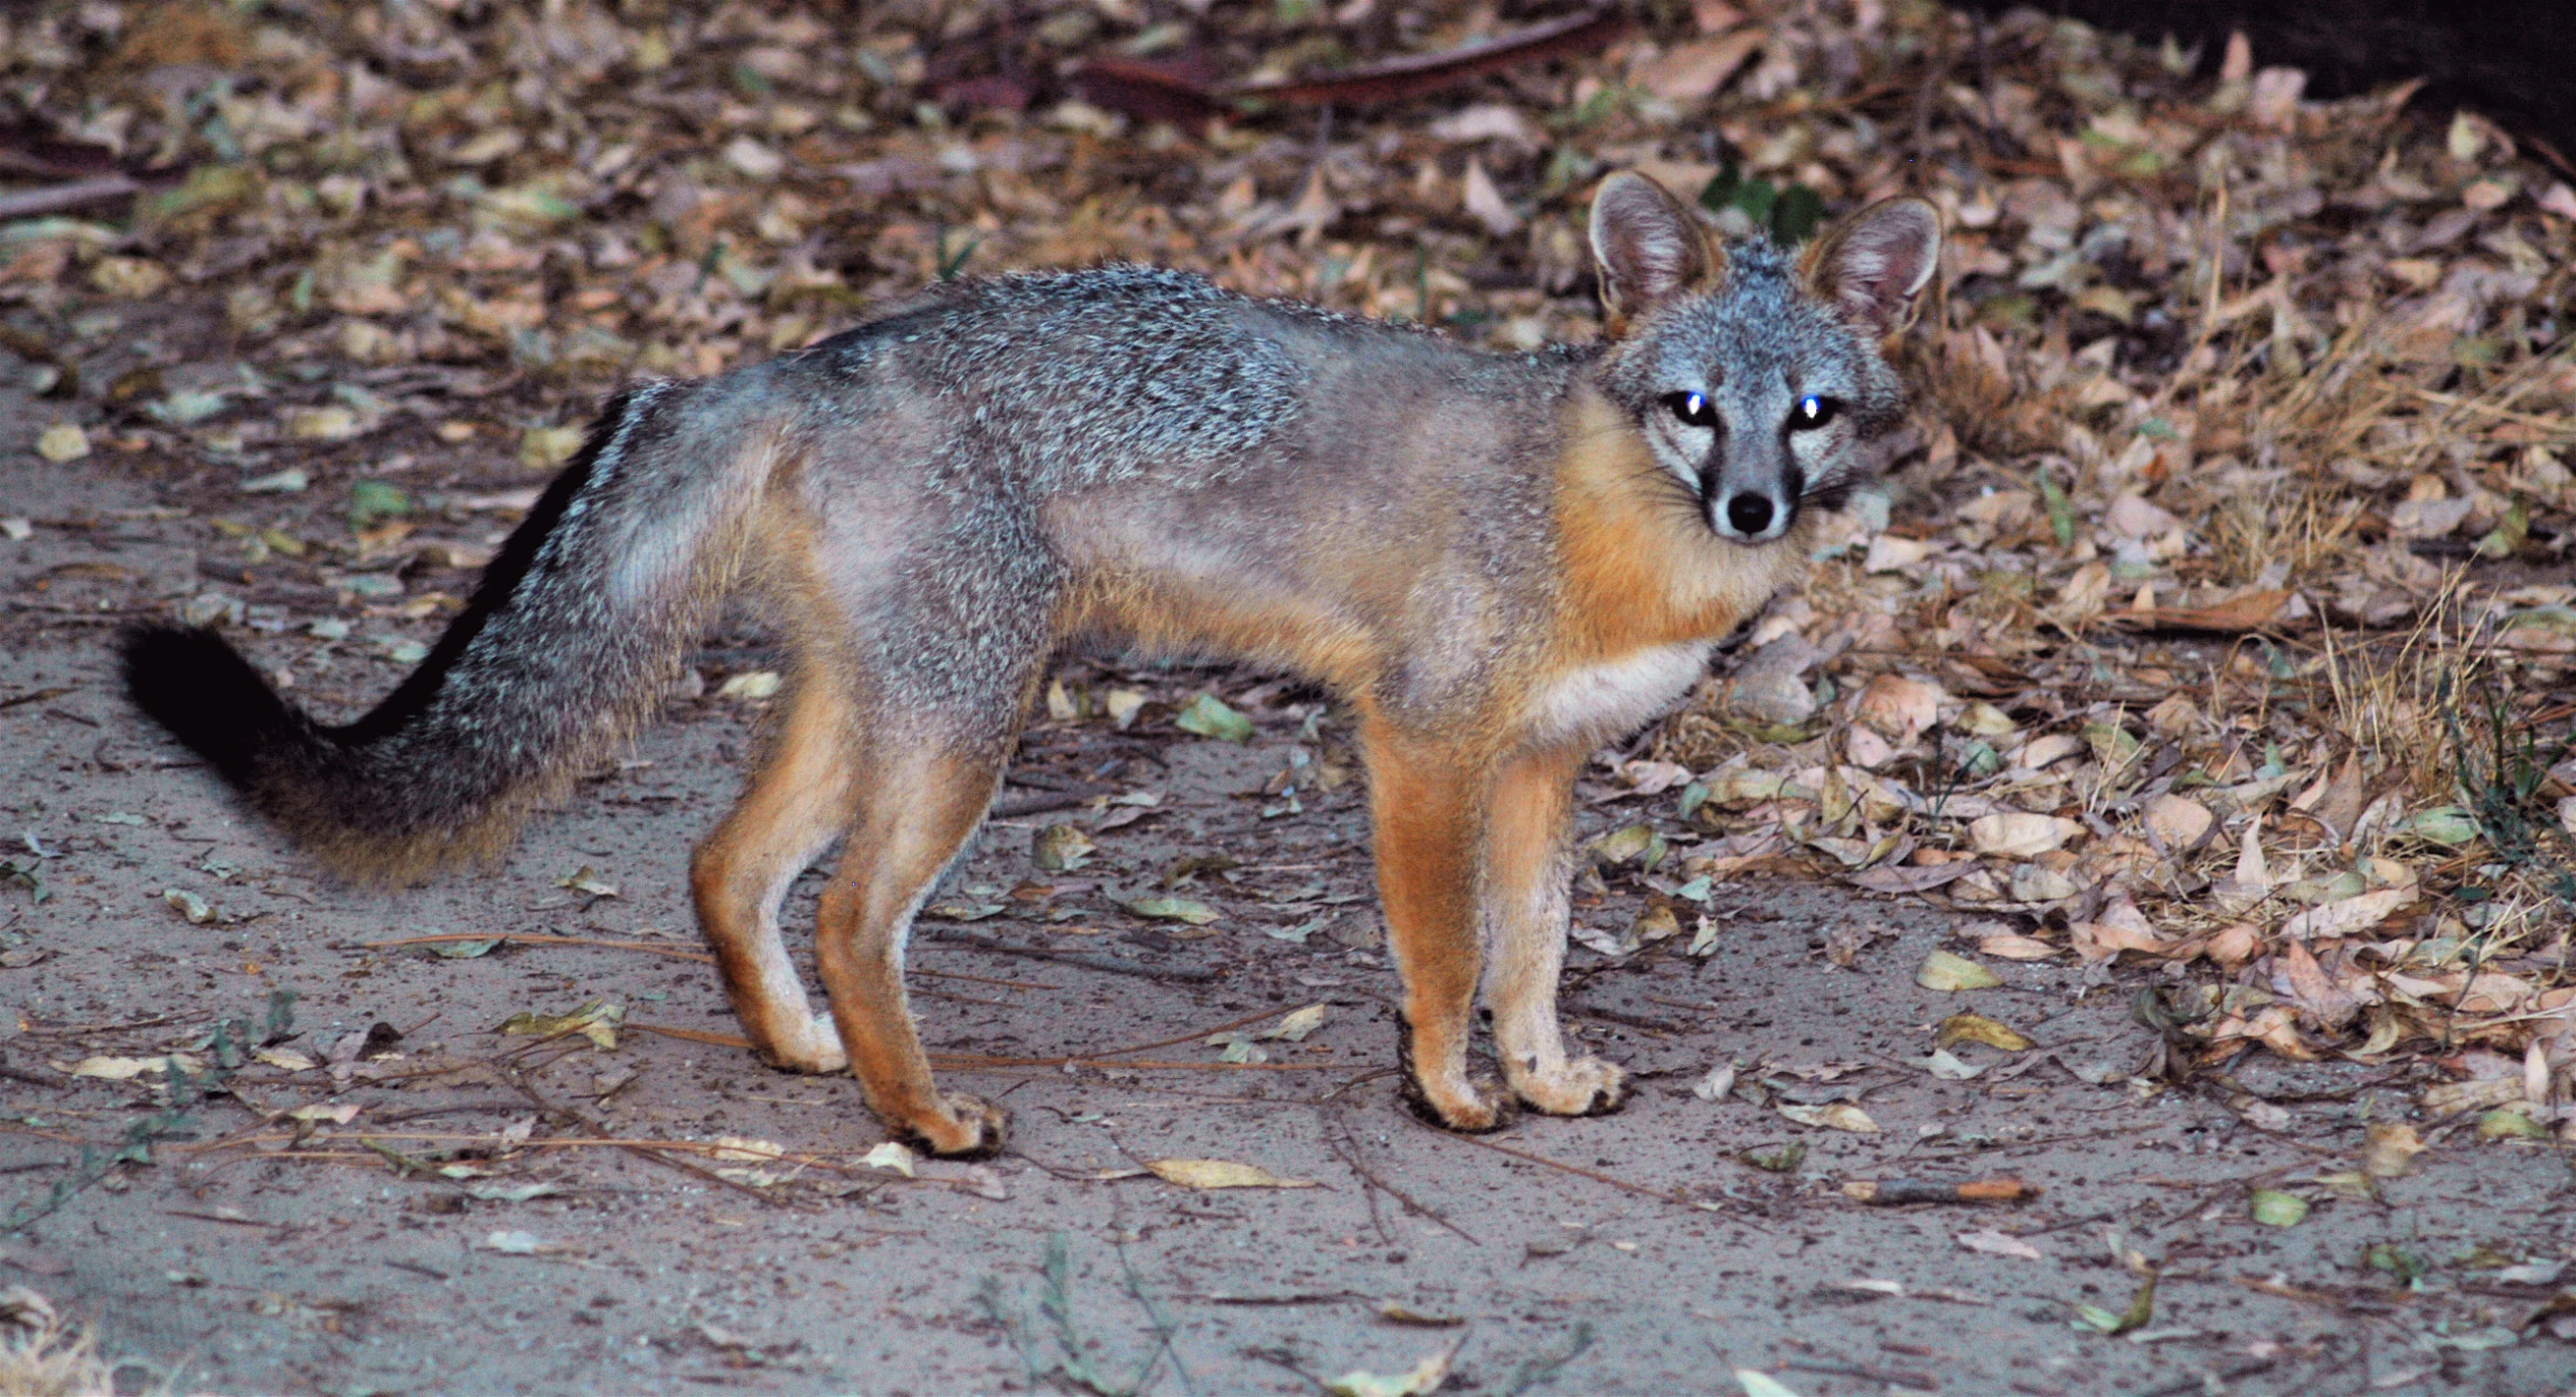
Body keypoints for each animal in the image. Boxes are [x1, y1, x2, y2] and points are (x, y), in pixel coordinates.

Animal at [121, 172, 1937, 1159]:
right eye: (1692, 406)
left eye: (1807, 412)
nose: (1756, 503)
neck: (1601, 524)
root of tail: (807, 354)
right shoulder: (1418, 743)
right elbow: (1442, 955)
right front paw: (1451, 1091)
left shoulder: (1545, 764)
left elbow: (1536, 946)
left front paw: (1545, 1073)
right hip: (973, 725)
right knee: (850, 913)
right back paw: (920, 1118)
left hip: (892, 705)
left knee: (726, 865)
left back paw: (808, 1055)